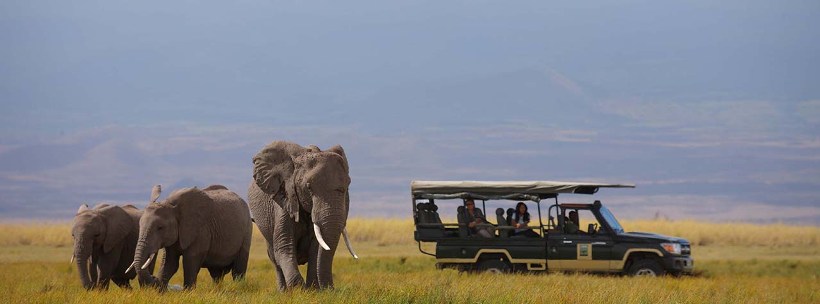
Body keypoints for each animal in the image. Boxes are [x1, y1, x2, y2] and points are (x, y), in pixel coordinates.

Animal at [247, 140, 356, 290]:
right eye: (308, 187)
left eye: (347, 186)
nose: (331, 288)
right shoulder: (285, 198)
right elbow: (284, 246)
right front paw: (299, 290)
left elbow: (316, 249)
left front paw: (313, 290)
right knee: (275, 258)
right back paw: (283, 291)